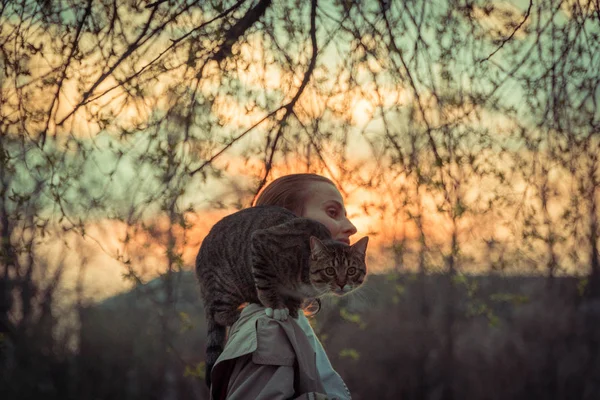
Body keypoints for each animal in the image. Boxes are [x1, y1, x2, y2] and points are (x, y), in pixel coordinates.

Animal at [195, 205, 368, 386]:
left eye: (351, 270)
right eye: (330, 270)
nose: (341, 284)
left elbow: (294, 299)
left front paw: (292, 309)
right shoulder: (262, 242)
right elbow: (266, 282)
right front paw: (276, 307)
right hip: (226, 284)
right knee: (218, 313)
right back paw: (236, 313)